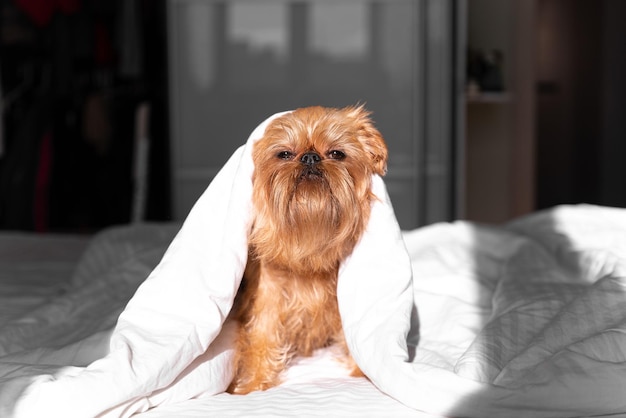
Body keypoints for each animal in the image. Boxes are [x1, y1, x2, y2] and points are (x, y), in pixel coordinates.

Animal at [227, 105, 388, 396]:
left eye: (337, 154)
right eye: (284, 154)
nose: (310, 157)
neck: (307, 256)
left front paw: (363, 373)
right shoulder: (268, 298)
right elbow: (263, 335)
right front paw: (253, 385)